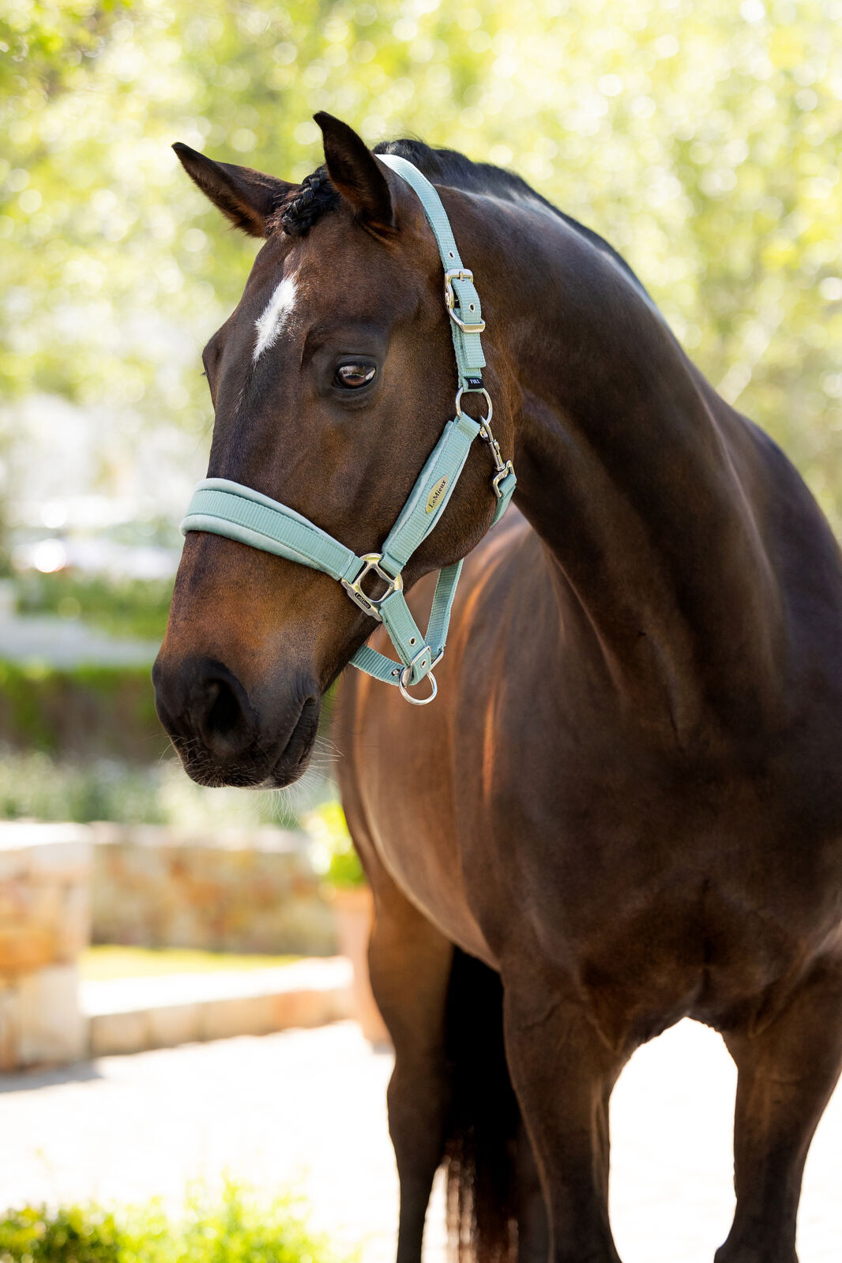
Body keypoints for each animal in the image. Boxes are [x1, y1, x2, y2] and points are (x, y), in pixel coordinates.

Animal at [153, 111, 842, 1263]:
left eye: (351, 370)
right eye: (214, 364)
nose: (197, 694)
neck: (704, 702)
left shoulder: (802, 1020)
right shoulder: (553, 1027)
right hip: (404, 945)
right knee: (417, 1124)